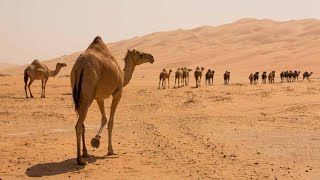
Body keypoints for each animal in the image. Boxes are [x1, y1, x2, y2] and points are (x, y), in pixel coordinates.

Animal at [70, 37, 155, 166]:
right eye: (140, 54)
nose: (151, 57)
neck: (122, 75)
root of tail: (81, 66)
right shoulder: (117, 93)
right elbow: (111, 122)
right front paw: (110, 150)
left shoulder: (99, 97)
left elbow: (104, 119)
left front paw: (96, 140)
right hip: (87, 96)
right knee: (78, 125)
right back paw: (80, 160)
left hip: (80, 96)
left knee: (82, 123)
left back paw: (85, 153)